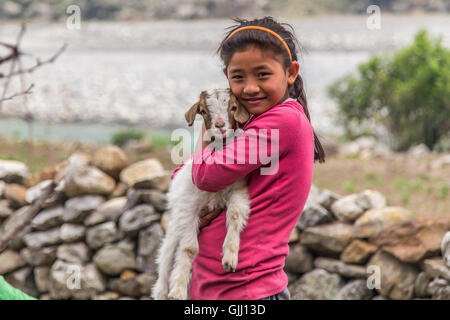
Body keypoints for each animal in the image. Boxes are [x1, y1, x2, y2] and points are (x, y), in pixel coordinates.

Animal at [154, 88, 253, 300]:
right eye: (204, 111)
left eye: (233, 107)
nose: (220, 125)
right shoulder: (189, 205)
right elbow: (189, 249)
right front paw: (177, 291)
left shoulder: (237, 190)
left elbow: (235, 215)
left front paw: (230, 259)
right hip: (174, 229)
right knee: (166, 262)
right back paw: (163, 290)